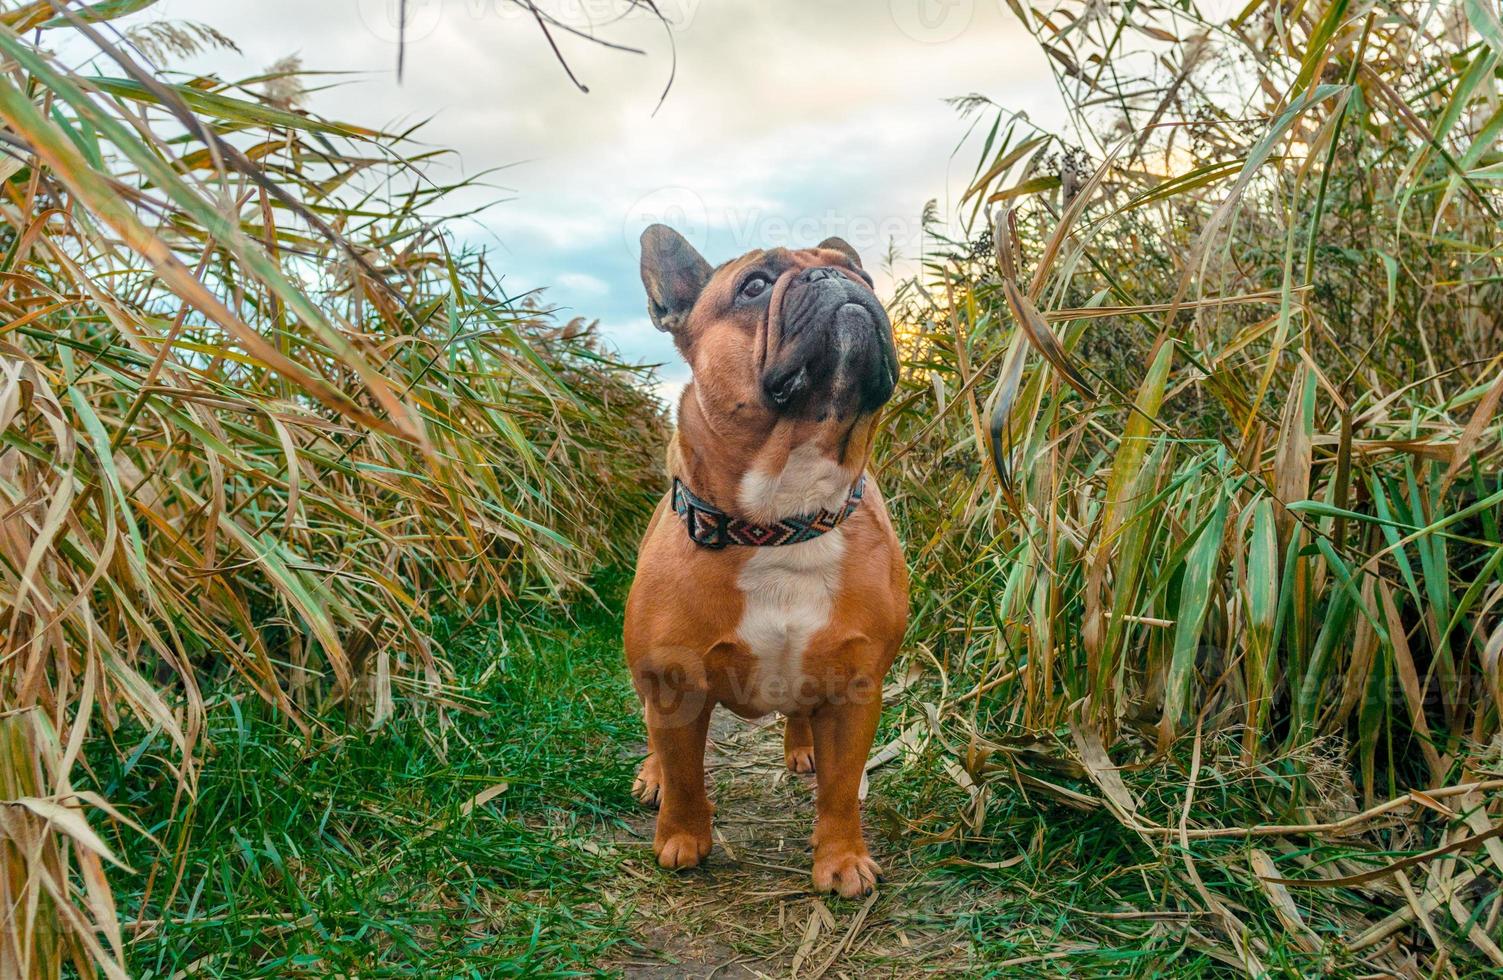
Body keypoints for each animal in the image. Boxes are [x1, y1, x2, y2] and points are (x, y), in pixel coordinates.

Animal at [619, 222, 901, 895]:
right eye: (754, 286)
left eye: (865, 276)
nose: (838, 279)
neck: (783, 522)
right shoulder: (673, 684)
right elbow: (687, 773)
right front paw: (681, 838)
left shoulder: (857, 689)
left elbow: (842, 788)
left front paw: (841, 859)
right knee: (655, 739)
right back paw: (653, 776)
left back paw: (802, 748)